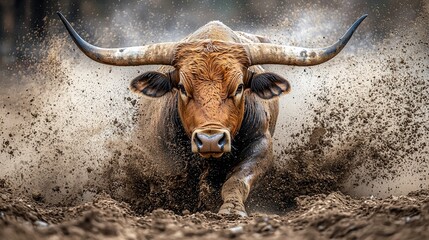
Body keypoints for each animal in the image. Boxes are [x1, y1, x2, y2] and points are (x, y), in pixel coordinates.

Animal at [56, 12, 364, 217]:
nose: (211, 140)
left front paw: (231, 209)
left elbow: (238, 179)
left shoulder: (262, 146)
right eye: (182, 87)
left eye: (239, 87)